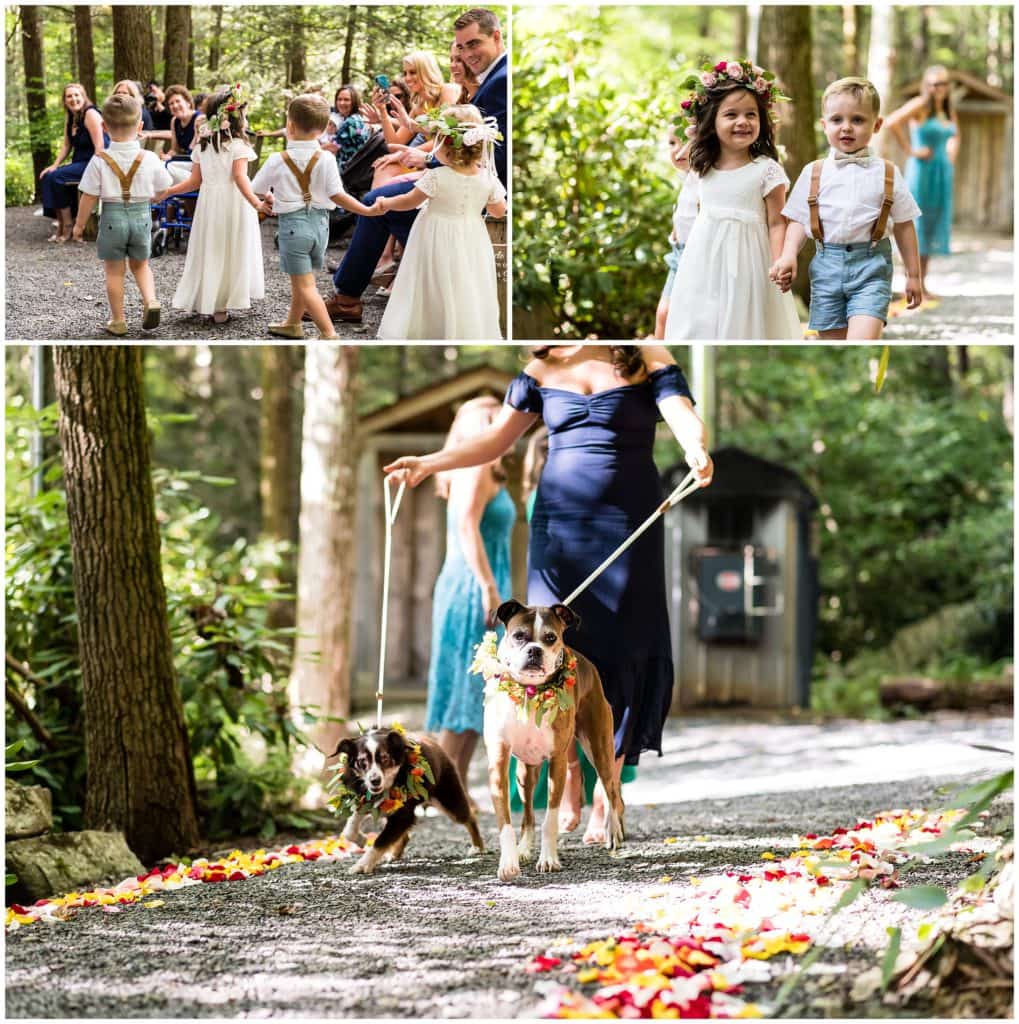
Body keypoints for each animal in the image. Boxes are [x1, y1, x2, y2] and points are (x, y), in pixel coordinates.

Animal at [329, 729, 481, 872]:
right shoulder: (364, 799)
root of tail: (435, 744)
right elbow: (349, 831)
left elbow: (380, 841)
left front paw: (362, 865)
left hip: (449, 799)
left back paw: (478, 847)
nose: (375, 781)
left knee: (469, 818)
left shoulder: (403, 814)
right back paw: (394, 854)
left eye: (385, 758)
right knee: (403, 835)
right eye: (362, 761)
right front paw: (362, 839)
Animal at [483, 598, 626, 880]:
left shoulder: (557, 761)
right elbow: (506, 820)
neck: (529, 692)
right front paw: (509, 862)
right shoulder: (499, 762)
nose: (534, 651)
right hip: (525, 774)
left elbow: (550, 819)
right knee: (528, 815)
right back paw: (524, 849)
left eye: (550, 637)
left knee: (611, 788)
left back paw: (613, 832)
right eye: (518, 636)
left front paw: (548, 859)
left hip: (600, 749)